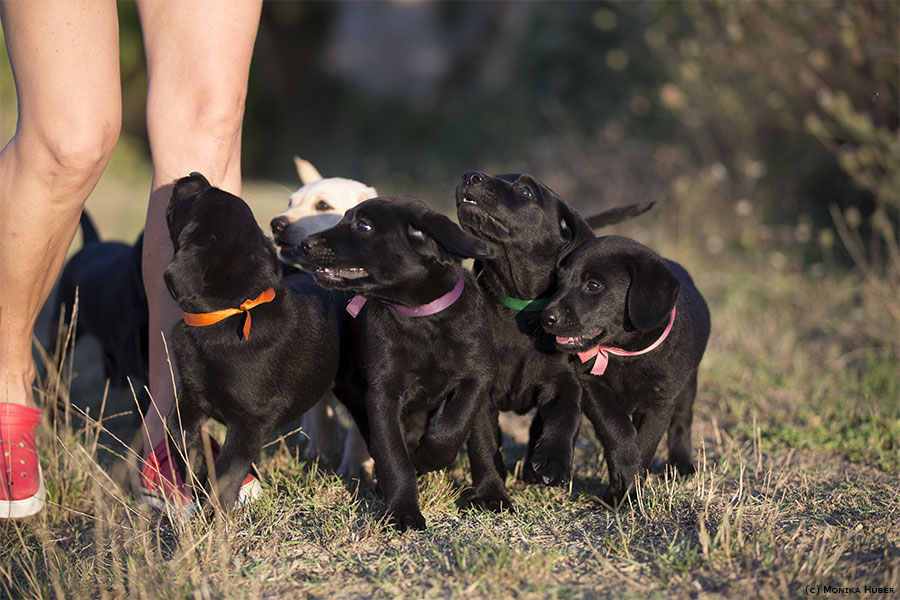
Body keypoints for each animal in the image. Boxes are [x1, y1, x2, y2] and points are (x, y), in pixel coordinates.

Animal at [164, 172, 340, 511]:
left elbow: (225, 477)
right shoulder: (191, 397)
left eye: (200, 195)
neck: (228, 313)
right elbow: (179, 437)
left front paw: (213, 519)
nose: (192, 175)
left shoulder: (249, 424)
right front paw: (194, 481)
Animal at [270, 157, 376, 480]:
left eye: (322, 206)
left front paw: (356, 465)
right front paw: (322, 448)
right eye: (290, 203)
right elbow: (320, 410)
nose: (276, 224)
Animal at [302, 195, 505, 531]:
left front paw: (486, 493)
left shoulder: (477, 378)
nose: (305, 243)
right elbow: (393, 455)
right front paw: (403, 511)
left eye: (363, 226)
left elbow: (467, 433)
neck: (422, 319)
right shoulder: (382, 394)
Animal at [456, 170, 653, 490]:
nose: (470, 175)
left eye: (525, 191)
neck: (518, 305)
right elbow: (482, 442)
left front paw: (553, 460)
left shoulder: (565, 378)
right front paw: (491, 492)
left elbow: (565, 414)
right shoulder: (479, 386)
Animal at [540, 235, 710, 507]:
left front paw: (629, 489)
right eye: (559, 281)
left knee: (682, 422)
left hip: (688, 384)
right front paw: (621, 484)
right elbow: (618, 431)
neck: (623, 354)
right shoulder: (593, 389)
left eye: (593, 285)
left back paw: (682, 466)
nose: (546, 317)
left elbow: (646, 442)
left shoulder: (659, 401)